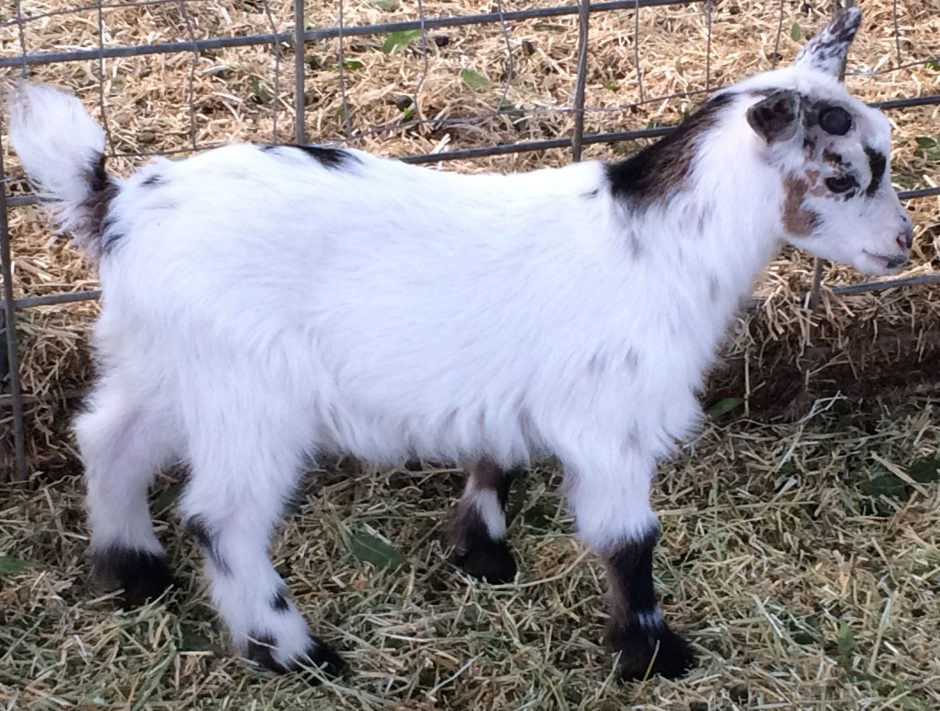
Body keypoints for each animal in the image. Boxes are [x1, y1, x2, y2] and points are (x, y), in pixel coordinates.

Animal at [8, 7, 913, 681]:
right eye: (843, 175)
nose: (903, 246)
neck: (660, 245)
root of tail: (115, 206)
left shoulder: (514, 390)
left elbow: (497, 458)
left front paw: (479, 554)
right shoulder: (610, 420)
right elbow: (629, 539)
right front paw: (652, 652)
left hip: (161, 360)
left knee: (108, 438)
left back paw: (133, 573)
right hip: (248, 392)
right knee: (220, 515)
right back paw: (294, 650)